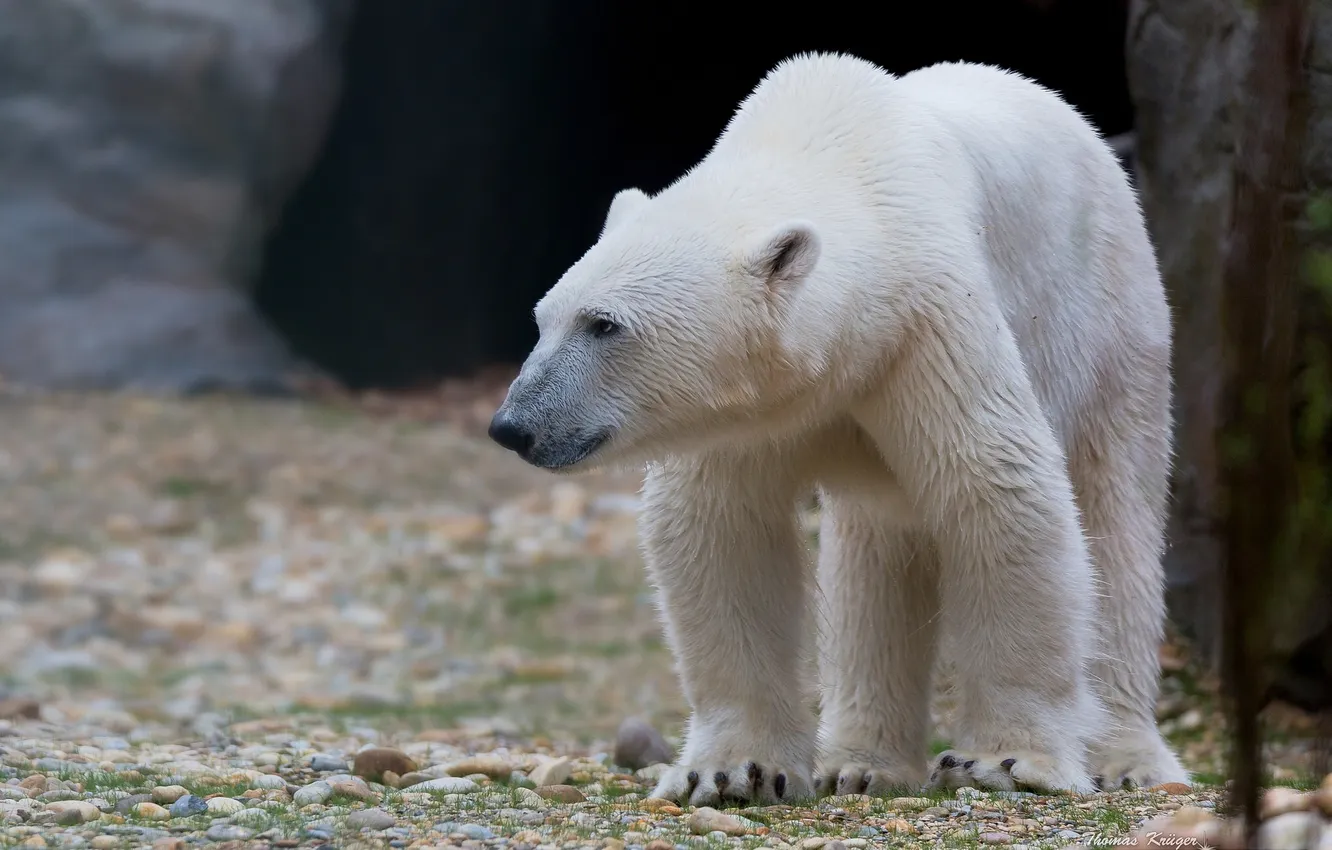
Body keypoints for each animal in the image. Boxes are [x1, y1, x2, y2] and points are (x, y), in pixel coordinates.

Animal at [488, 52, 1189, 805]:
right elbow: (723, 534)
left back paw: (1128, 756)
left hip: (1114, 325)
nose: (514, 425)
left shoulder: (928, 329)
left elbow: (999, 493)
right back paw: (861, 762)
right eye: (543, 318)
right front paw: (734, 770)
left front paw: (1004, 761)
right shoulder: (743, 414)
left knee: (1116, 517)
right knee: (876, 551)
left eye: (605, 325)